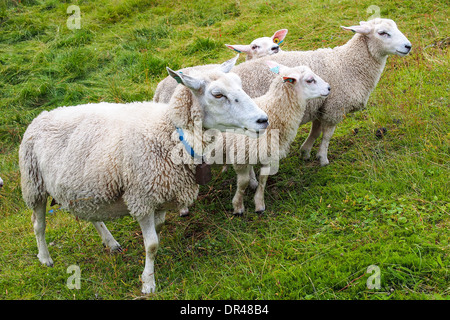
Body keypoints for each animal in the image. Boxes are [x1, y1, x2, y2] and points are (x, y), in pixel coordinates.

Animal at [19, 55, 268, 296]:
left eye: (240, 84)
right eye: (217, 94)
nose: (263, 120)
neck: (171, 133)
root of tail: (42, 115)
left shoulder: (160, 197)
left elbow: (157, 232)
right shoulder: (141, 198)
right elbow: (152, 244)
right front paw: (148, 282)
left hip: (83, 188)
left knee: (93, 217)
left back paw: (110, 242)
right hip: (33, 184)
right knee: (38, 224)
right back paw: (45, 258)